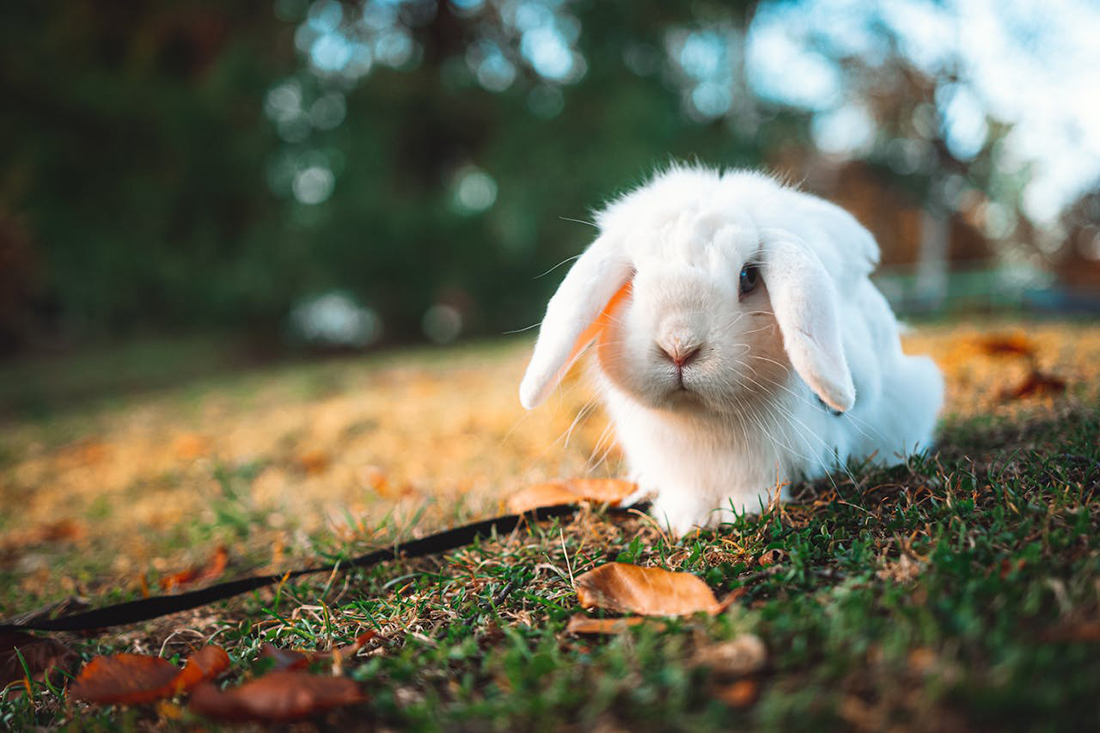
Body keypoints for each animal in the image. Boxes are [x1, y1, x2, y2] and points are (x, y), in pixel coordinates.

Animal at [519, 165, 944, 536]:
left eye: (747, 276)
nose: (679, 345)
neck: (703, 422)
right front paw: (683, 518)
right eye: (634, 278)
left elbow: (757, 483)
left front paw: (742, 511)